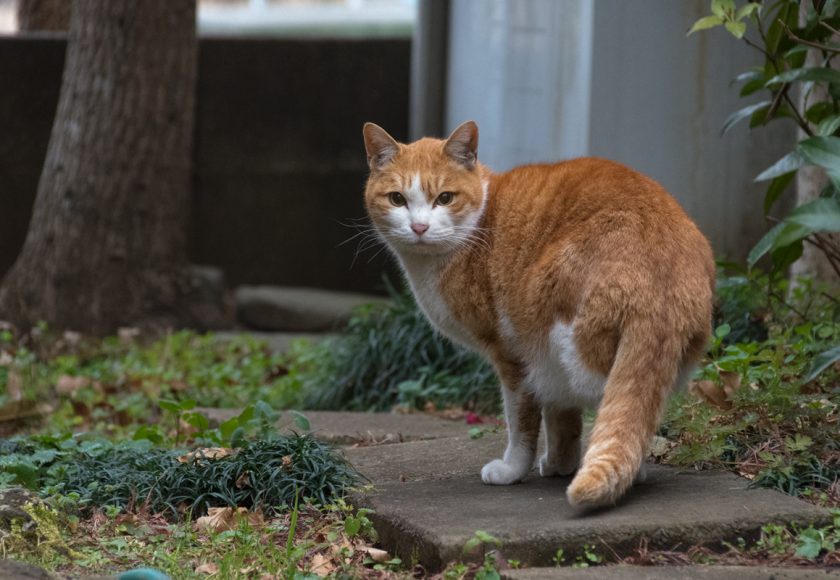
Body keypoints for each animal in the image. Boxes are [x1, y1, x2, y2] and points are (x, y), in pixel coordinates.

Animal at [360, 120, 716, 506]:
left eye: (445, 198)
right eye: (397, 199)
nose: (419, 228)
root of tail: (658, 266)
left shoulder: (513, 355)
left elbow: (522, 422)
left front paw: (512, 470)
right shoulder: (543, 364)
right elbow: (563, 417)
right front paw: (560, 463)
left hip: (564, 340)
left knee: (614, 408)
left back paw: (632, 473)